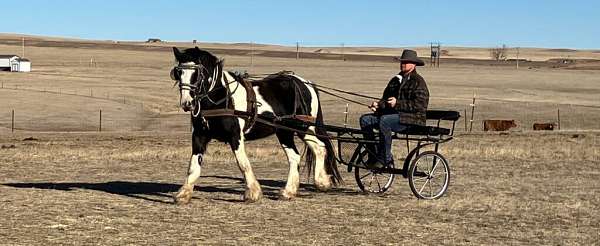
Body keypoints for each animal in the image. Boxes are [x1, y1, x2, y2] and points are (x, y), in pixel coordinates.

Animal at [169, 46, 342, 204]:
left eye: (197, 74)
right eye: (178, 73)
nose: (187, 103)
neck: (222, 98)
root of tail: (306, 83)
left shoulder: (235, 136)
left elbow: (243, 163)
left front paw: (253, 193)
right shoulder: (199, 135)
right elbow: (193, 166)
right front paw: (183, 194)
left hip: (303, 127)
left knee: (320, 148)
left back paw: (322, 182)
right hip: (284, 132)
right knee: (295, 156)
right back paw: (288, 191)